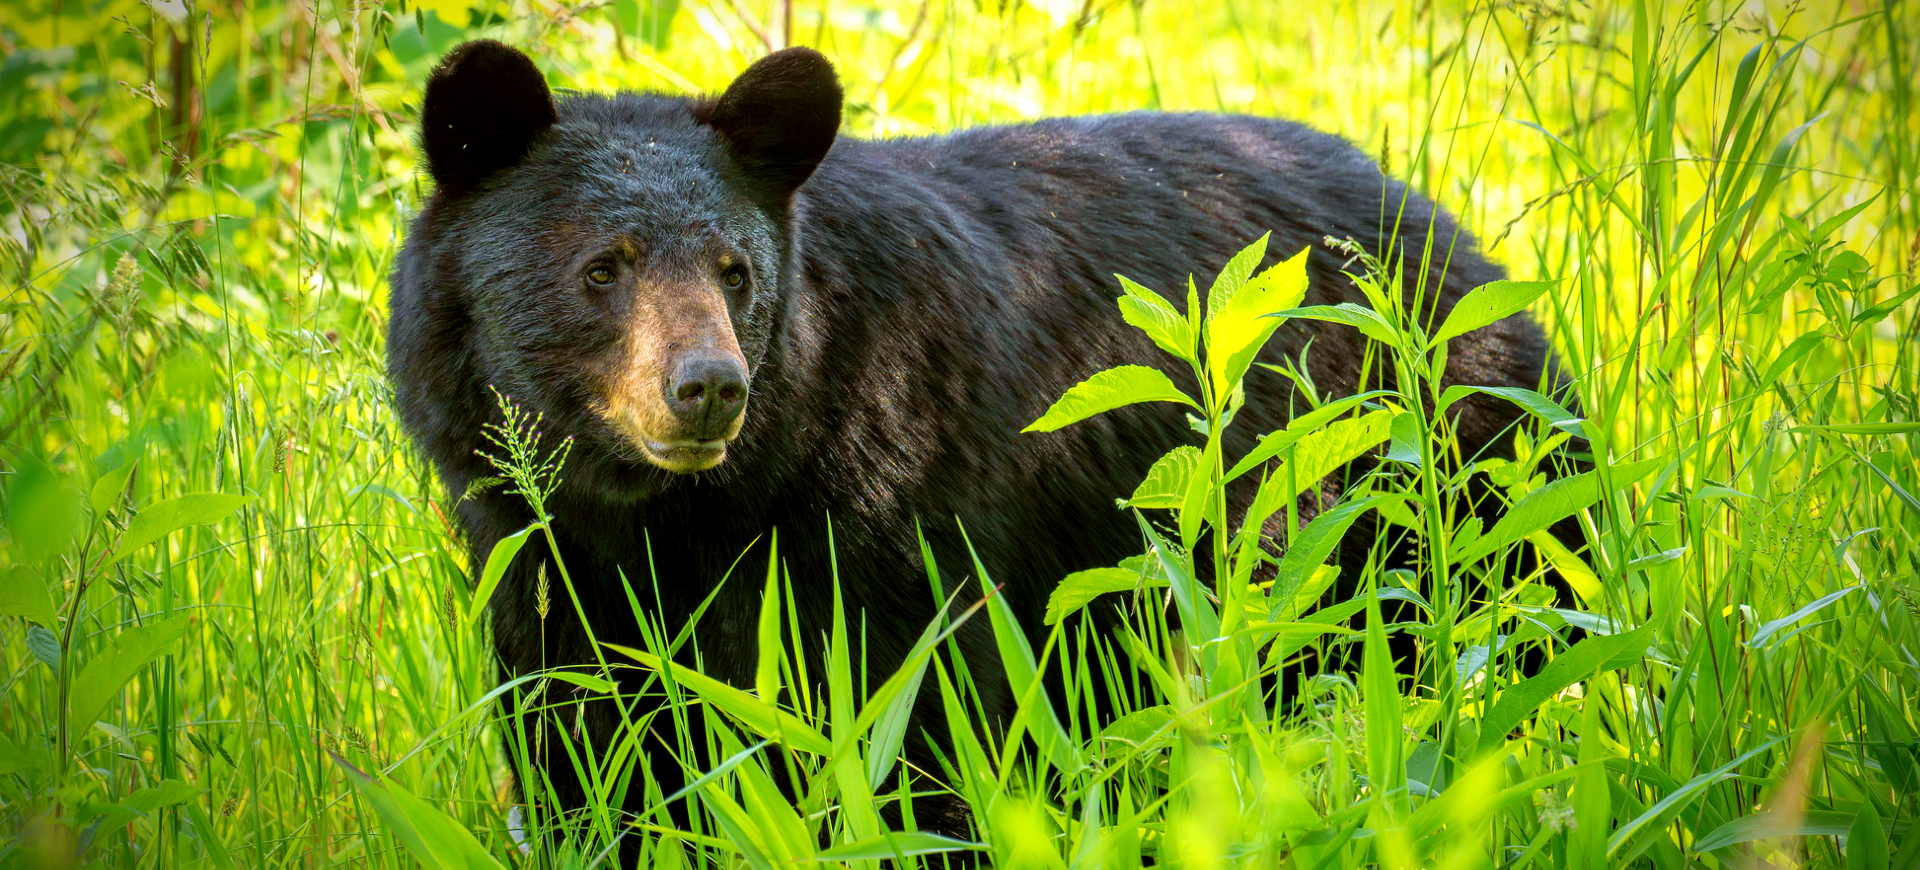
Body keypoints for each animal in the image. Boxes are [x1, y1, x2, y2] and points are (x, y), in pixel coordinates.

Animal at [382, 40, 1566, 841]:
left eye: (735, 271)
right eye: (604, 267)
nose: (708, 388)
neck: (675, 511)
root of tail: (1452, 233)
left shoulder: (891, 501)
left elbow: (912, 718)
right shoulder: (535, 554)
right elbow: (580, 733)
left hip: (1447, 469)